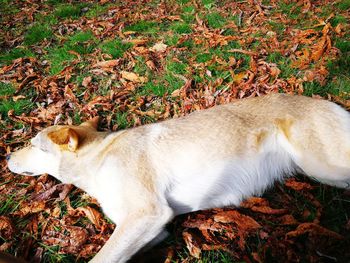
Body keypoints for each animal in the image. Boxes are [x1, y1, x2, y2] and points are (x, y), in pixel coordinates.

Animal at [6, 94, 350, 262]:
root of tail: (323, 101)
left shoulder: (149, 213)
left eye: (34, 145)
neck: (99, 158)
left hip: (324, 166)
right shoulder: (153, 230)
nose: (7, 156)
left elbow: (101, 259)